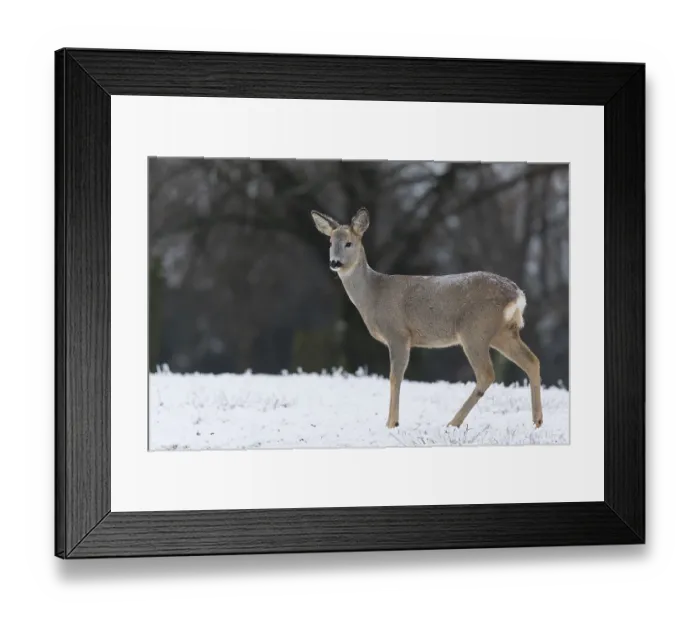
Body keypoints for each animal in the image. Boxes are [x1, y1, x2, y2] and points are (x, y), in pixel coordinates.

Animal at [311, 207, 543, 431]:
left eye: (349, 243)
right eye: (331, 242)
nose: (334, 262)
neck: (373, 295)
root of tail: (517, 294)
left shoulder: (398, 333)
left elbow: (395, 377)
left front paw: (391, 423)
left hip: (475, 329)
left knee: (486, 374)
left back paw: (453, 423)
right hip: (502, 332)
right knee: (532, 361)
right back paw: (537, 421)